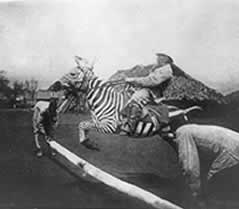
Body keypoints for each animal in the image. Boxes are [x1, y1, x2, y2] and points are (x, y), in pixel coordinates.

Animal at [52, 56, 202, 150]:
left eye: (73, 74)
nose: (55, 85)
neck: (104, 100)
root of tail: (183, 111)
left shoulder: (109, 126)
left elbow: (83, 124)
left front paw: (88, 143)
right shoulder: (95, 122)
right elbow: (82, 124)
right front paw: (88, 143)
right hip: (169, 136)